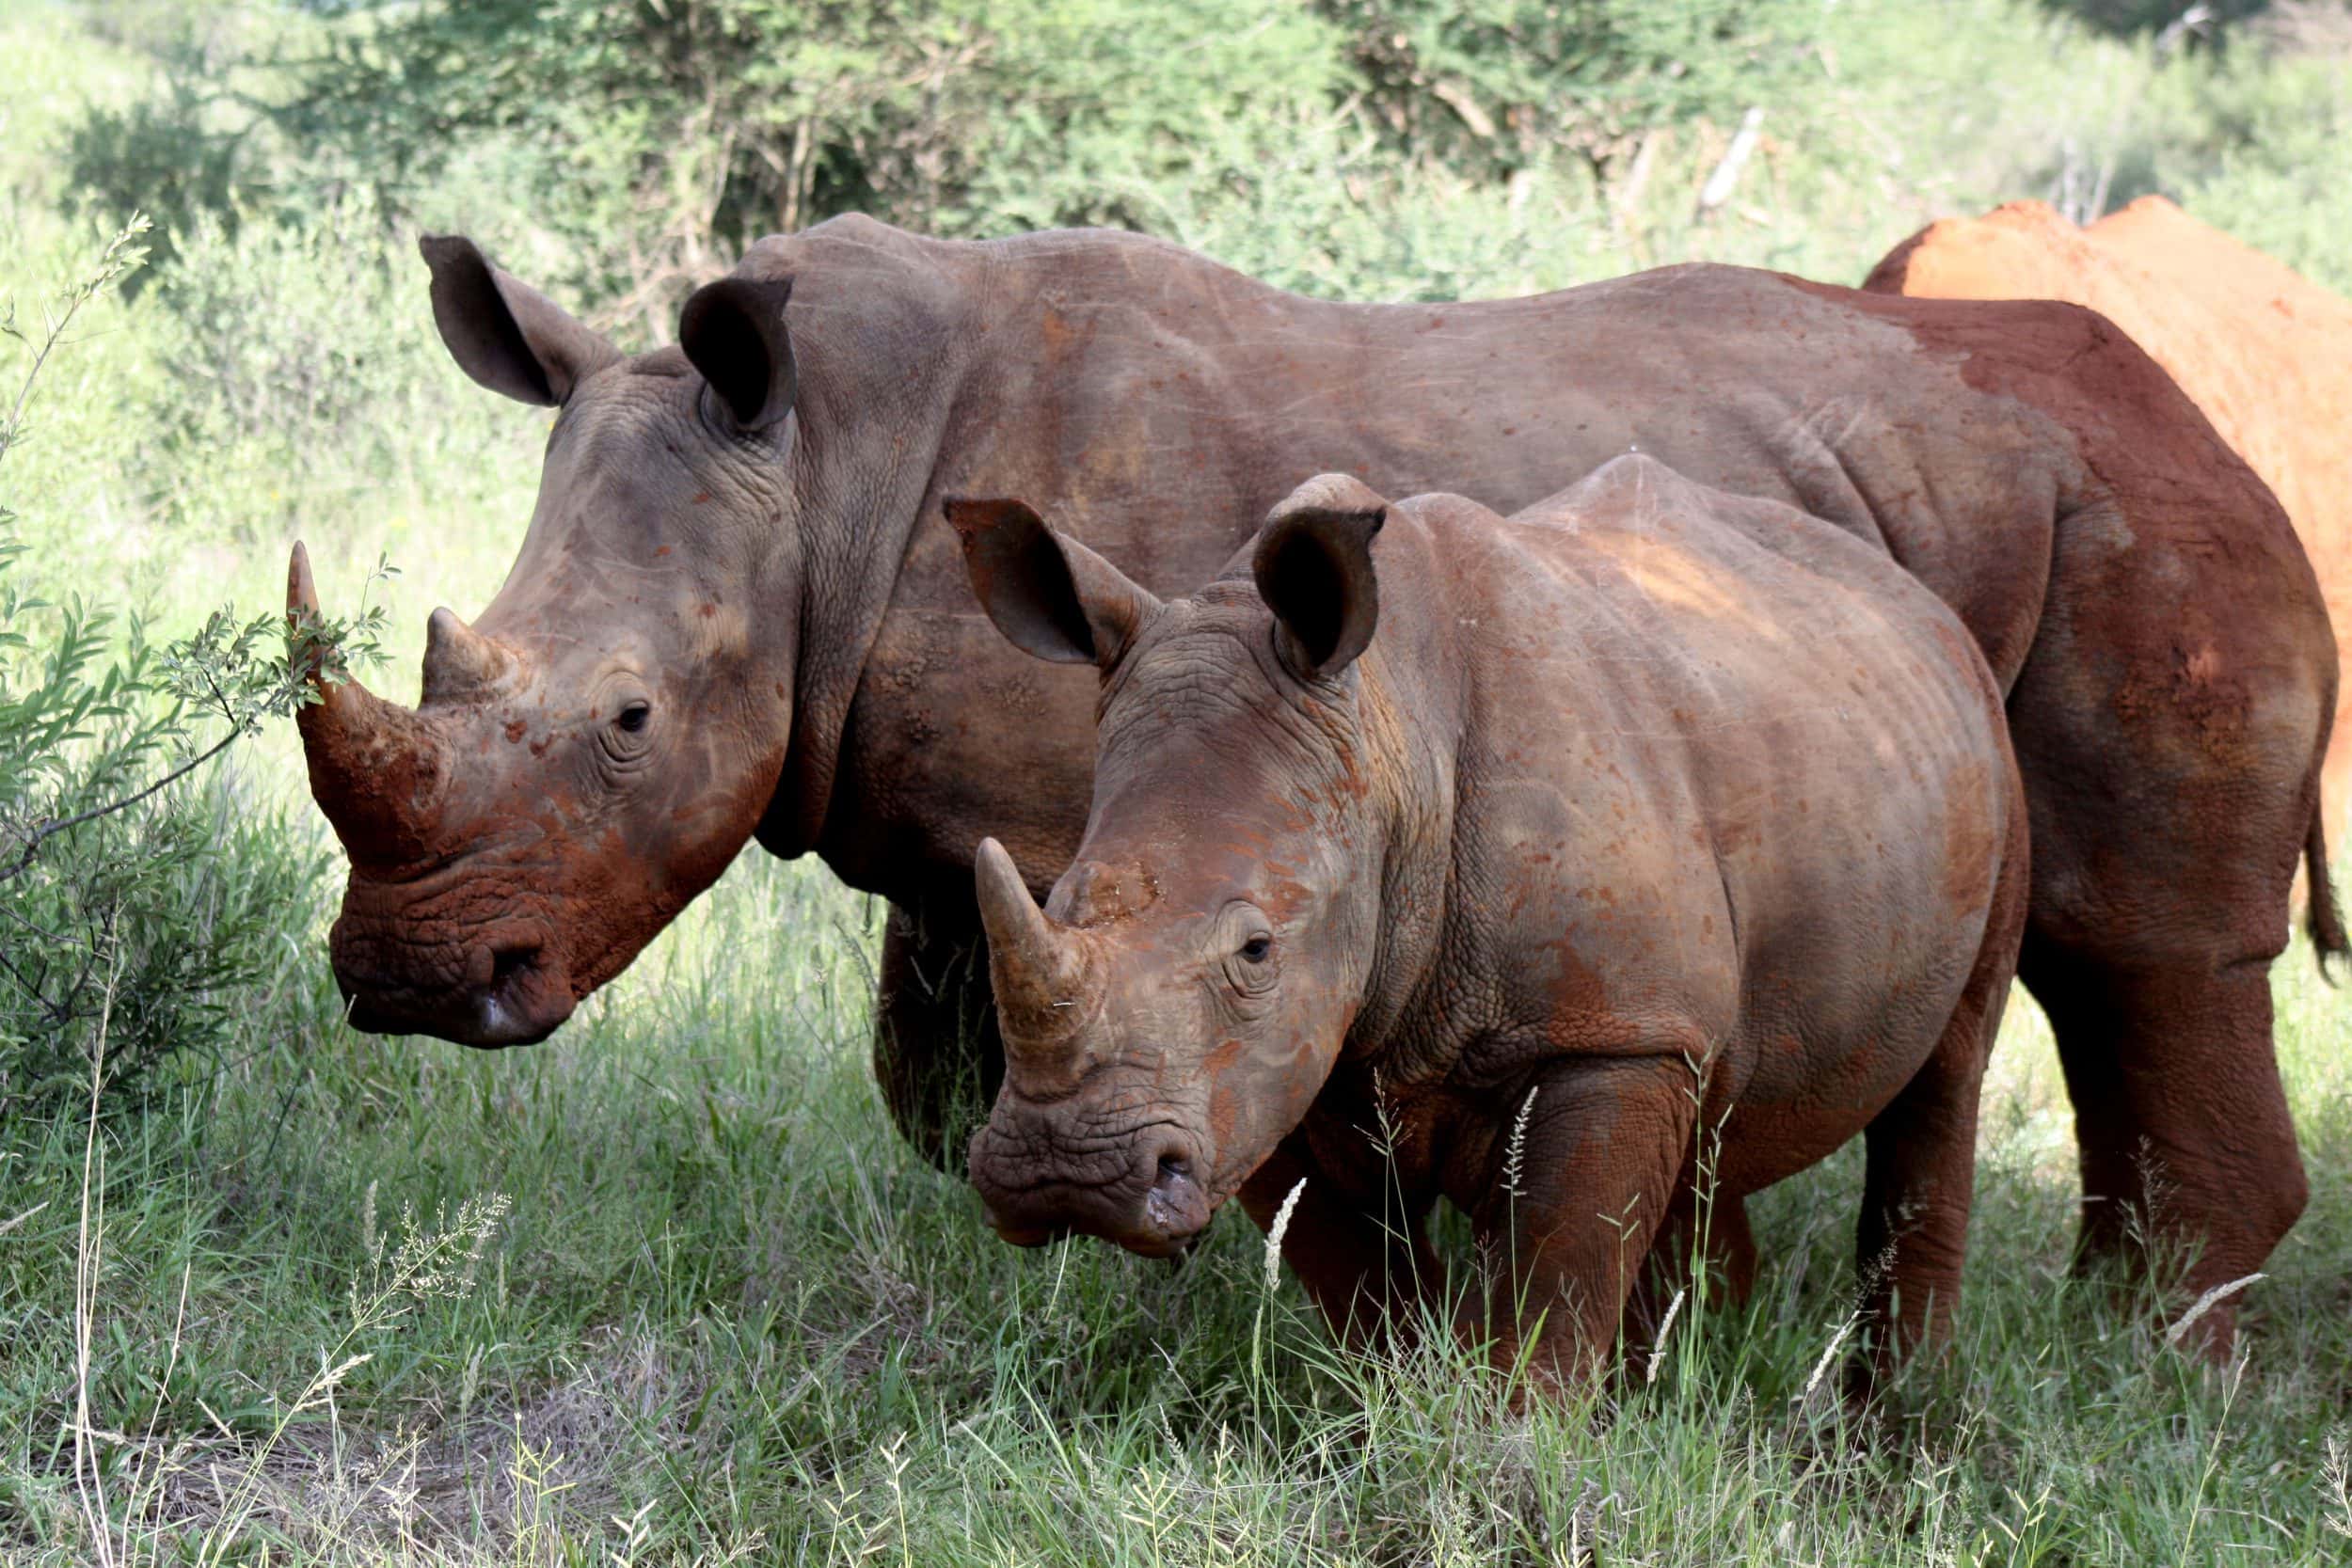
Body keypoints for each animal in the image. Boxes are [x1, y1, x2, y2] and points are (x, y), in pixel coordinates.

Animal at [950, 458, 2030, 1391]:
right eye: (1054, 901)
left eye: (1255, 949)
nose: (1064, 1173)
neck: (1391, 730)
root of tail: (1906, 590)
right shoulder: (1263, 1077)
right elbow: (1361, 1282)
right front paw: (1400, 1408)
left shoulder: (1610, 1031)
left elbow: (1550, 1287)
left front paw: (1508, 1445)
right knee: (1712, 1114)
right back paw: (1674, 1375)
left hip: (1988, 744)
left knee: (1946, 1075)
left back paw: (1895, 1422)